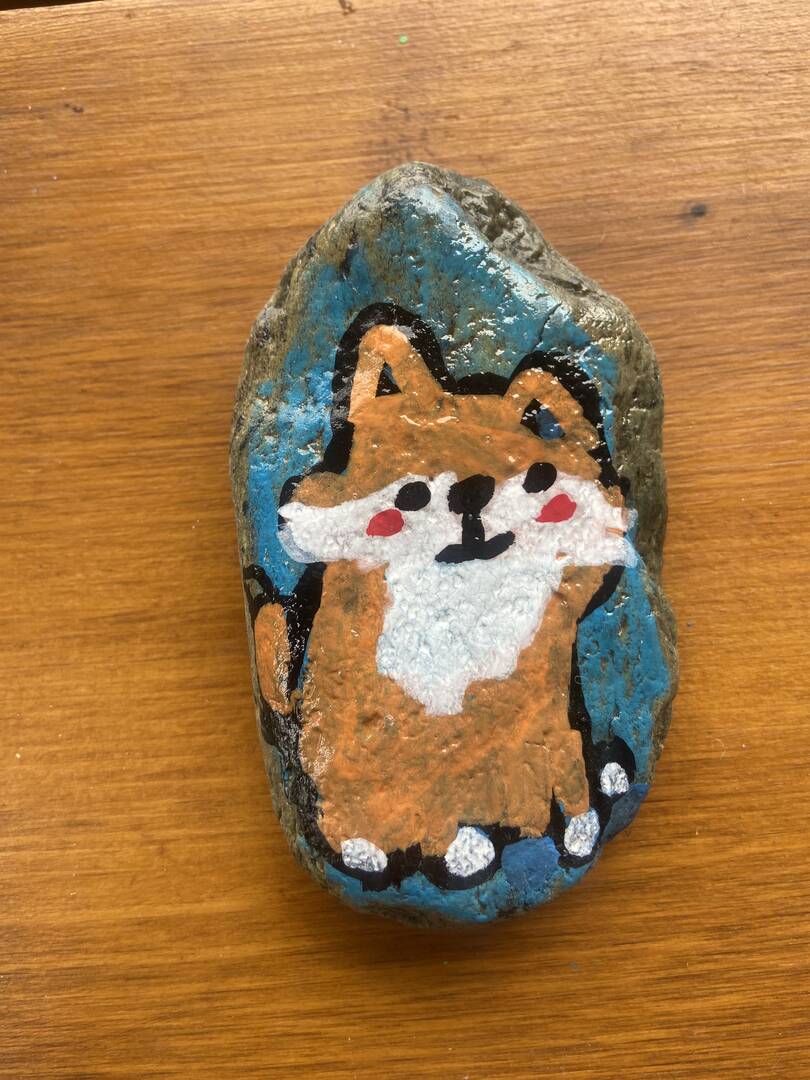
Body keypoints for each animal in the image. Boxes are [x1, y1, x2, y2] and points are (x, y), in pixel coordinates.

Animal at [248, 306, 637, 884]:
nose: (471, 491)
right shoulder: (407, 742)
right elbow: (429, 795)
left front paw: (581, 827)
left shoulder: (545, 714)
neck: (462, 603)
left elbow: (565, 768)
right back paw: (372, 849)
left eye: (539, 478)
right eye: (413, 492)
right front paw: (457, 848)